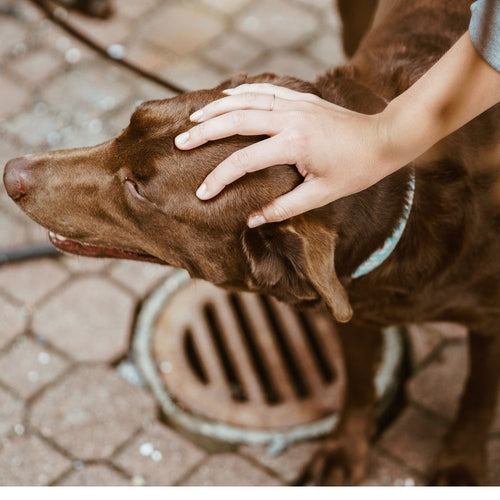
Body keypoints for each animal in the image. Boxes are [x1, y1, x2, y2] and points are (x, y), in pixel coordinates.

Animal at [3, 0, 500, 484]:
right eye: (131, 121)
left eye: (138, 191)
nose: (11, 173)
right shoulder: (352, 304)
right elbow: (359, 384)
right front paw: (345, 449)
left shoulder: (486, 324)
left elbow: (477, 399)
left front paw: (459, 466)